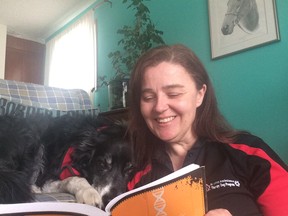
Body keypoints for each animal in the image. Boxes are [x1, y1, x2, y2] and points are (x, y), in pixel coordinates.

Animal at [0, 114, 133, 208]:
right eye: (101, 164)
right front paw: (89, 192)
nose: (111, 201)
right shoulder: (47, 177)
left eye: (130, 170)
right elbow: (75, 178)